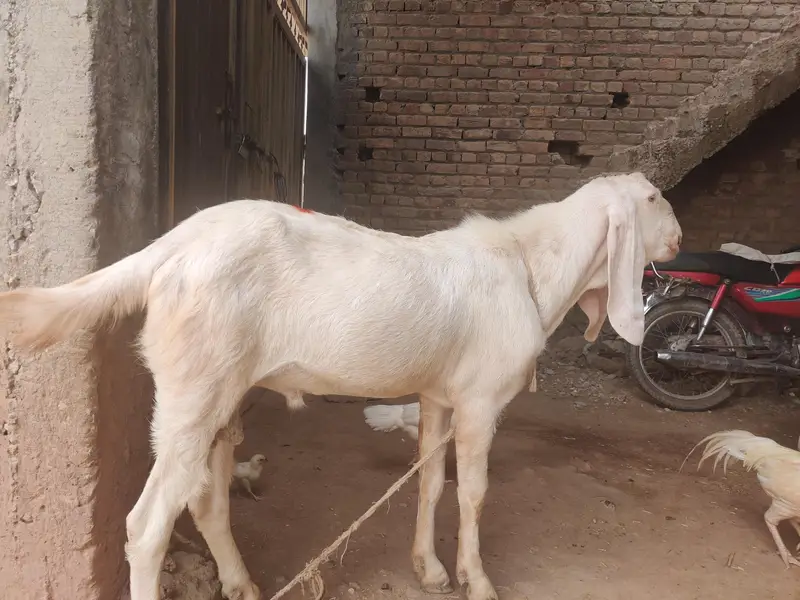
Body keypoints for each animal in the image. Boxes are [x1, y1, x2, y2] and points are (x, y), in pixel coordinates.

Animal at [0, 172, 681, 600]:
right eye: (653, 197)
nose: (678, 239)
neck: (528, 266)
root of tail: (173, 246)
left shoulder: (437, 396)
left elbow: (430, 482)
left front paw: (429, 570)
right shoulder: (481, 401)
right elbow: (474, 492)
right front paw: (478, 581)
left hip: (220, 390)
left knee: (206, 502)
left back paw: (242, 584)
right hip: (194, 385)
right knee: (147, 525)